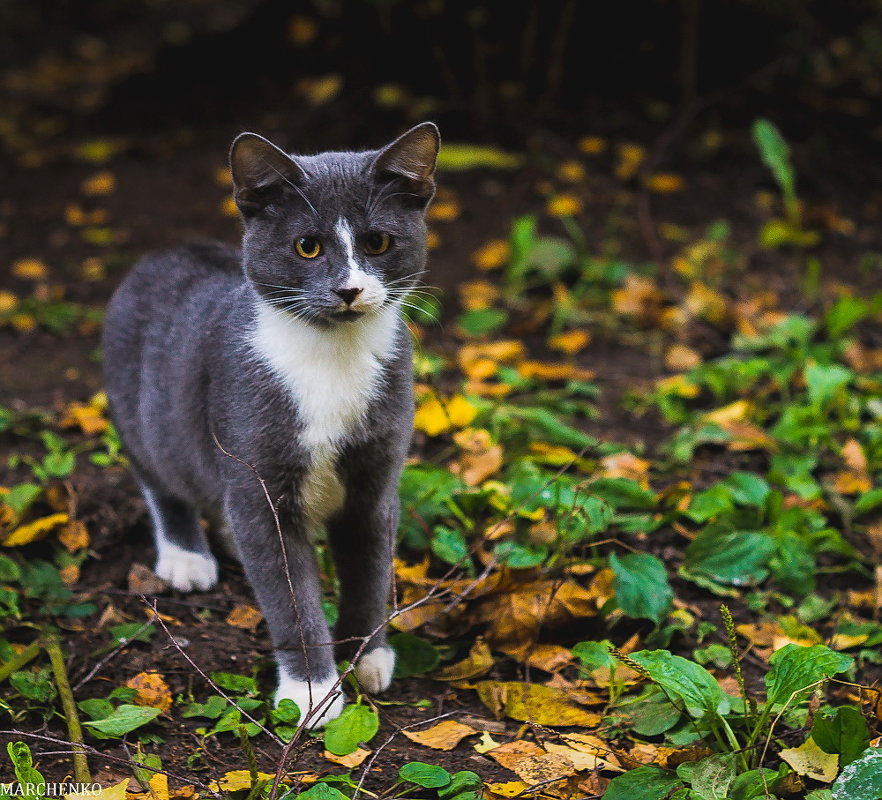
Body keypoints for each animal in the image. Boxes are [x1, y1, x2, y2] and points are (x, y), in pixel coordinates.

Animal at [102, 122, 440, 728]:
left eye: (378, 243)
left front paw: (368, 656)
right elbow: (288, 590)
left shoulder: (377, 476)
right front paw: (312, 691)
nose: (349, 289)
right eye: (308, 246)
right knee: (162, 478)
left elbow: (371, 566)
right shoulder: (258, 474)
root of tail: (164, 252)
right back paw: (187, 555)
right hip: (139, 412)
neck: (332, 358)